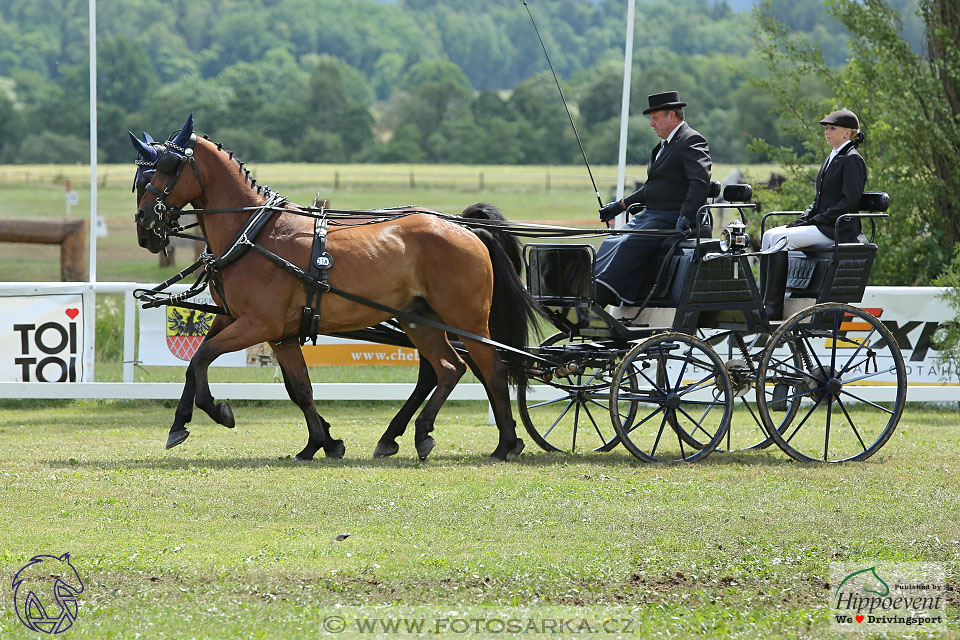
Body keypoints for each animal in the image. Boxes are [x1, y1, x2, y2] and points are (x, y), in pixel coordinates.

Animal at [129, 115, 540, 462]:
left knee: (492, 368)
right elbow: (296, 387)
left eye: (166, 166)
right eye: (141, 176)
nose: (144, 223)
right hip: (420, 319)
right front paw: (320, 442)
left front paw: (219, 411)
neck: (253, 232)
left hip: (466, 319)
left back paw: (506, 442)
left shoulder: (258, 324)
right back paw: (416, 434)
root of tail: (464, 227)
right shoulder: (258, 326)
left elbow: (202, 357)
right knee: (448, 368)